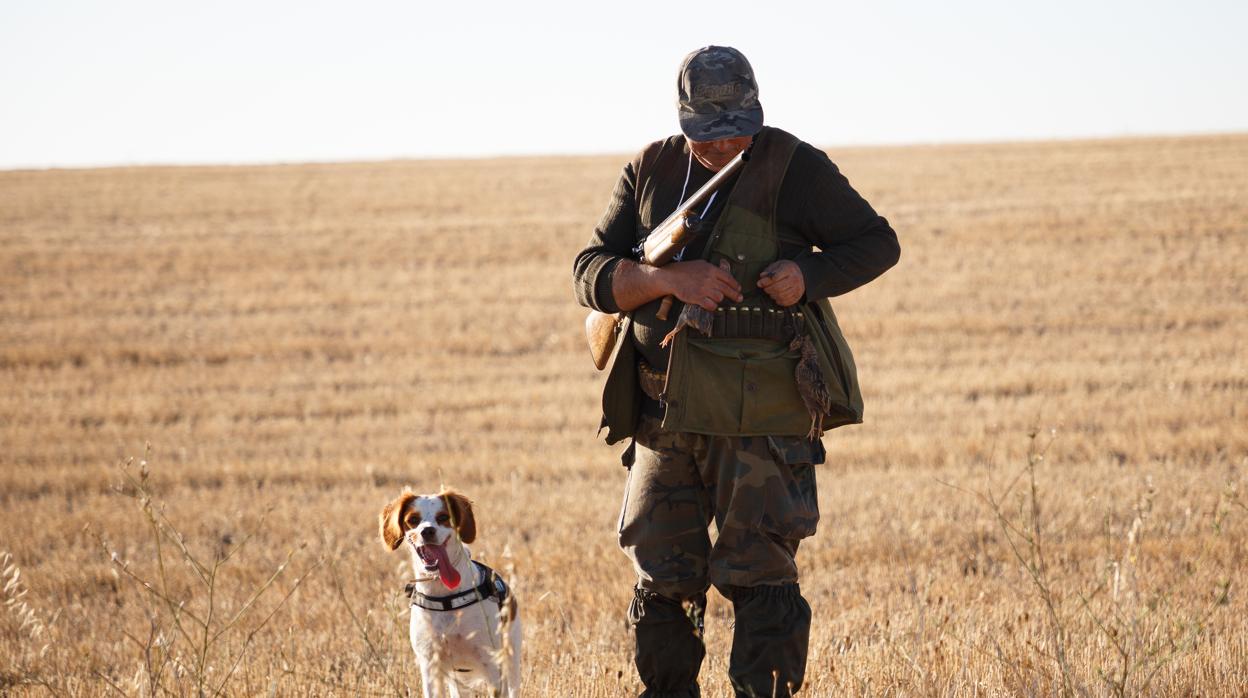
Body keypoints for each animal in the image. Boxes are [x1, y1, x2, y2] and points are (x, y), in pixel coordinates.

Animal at [376, 491, 519, 698]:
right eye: (413, 520)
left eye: (443, 517)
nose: (427, 531)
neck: (444, 596)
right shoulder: (430, 665)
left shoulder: (492, 665)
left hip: (511, 659)